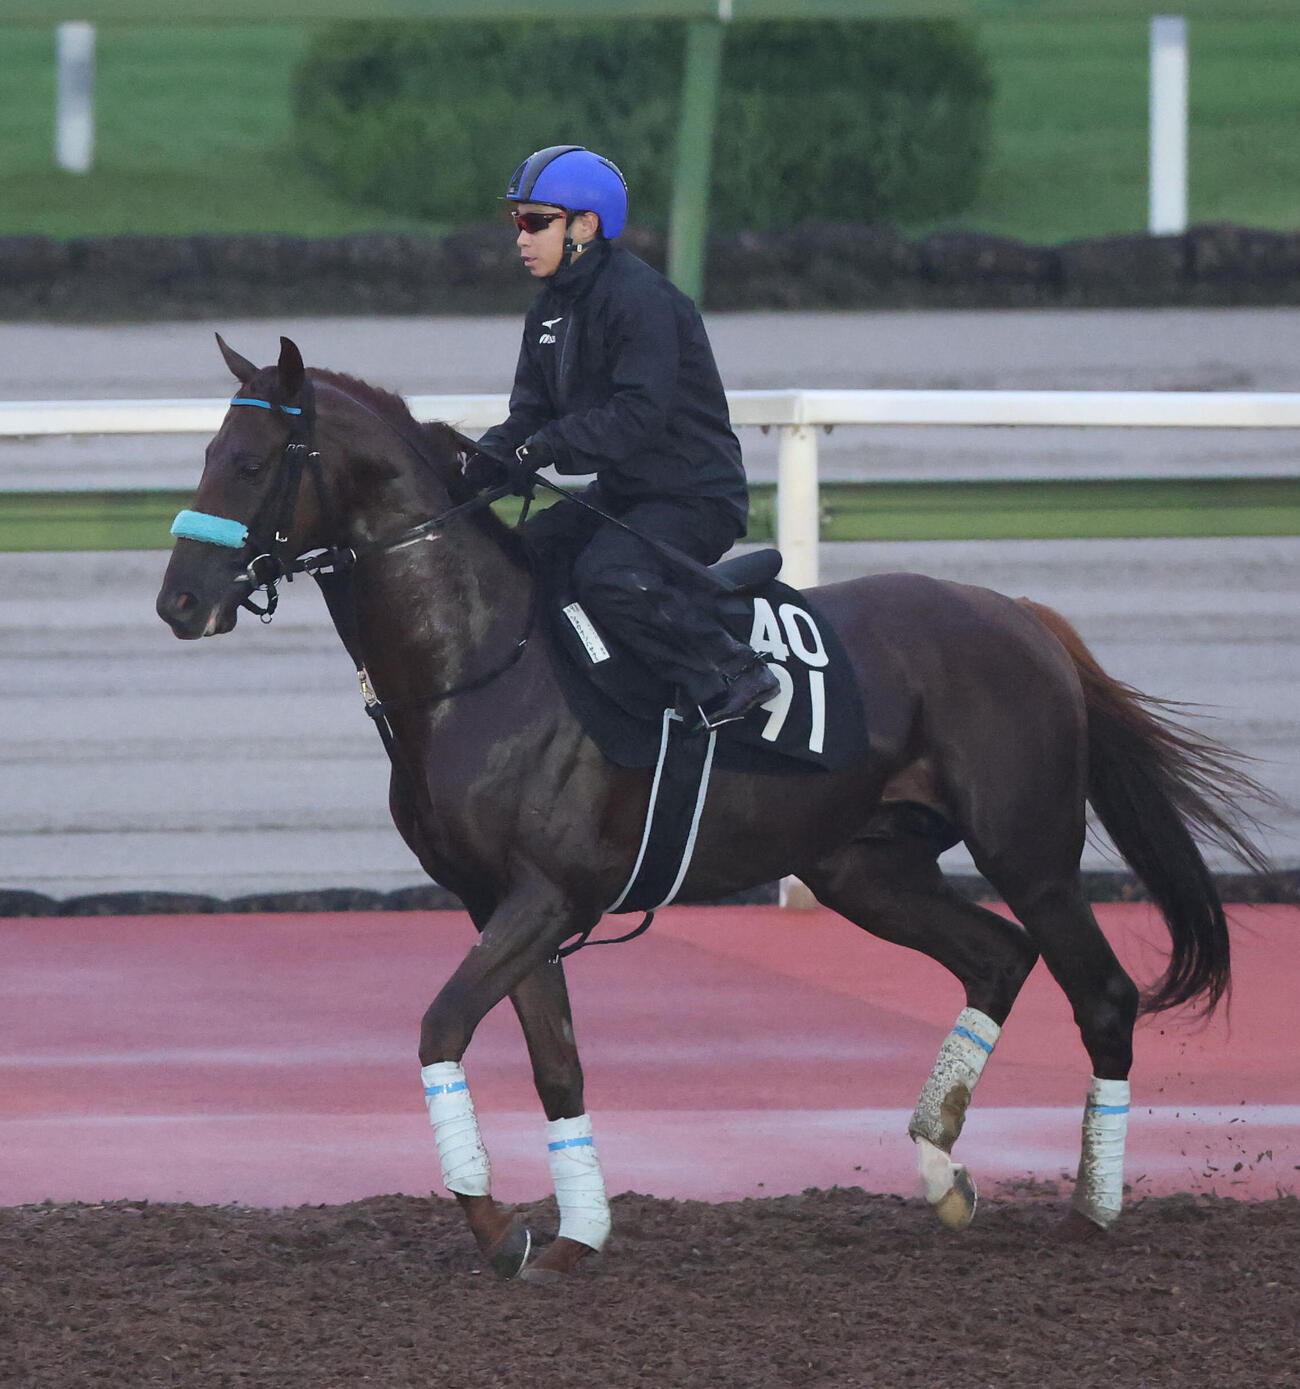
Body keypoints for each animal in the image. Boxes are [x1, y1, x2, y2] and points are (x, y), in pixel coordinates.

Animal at [157, 335, 1270, 1282]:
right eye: (208, 452)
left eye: (251, 462)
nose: (178, 601)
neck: (479, 660)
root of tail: (1024, 616)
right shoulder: (502, 905)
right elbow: (557, 1068)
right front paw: (575, 1233)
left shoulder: (546, 896)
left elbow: (440, 1029)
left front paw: (498, 1223)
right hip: (862, 864)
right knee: (997, 956)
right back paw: (940, 1170)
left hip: (1029, 852)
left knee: (1103, 994)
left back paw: (1090, 1210)